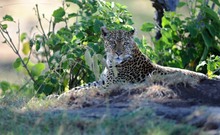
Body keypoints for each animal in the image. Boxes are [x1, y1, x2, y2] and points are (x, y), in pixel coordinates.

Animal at [57, 26, 207, 97]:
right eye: (113, 42)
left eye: (125, 43)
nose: (118, 53)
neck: (111, 62)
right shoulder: (102, 81)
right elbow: (79, 87)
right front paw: (57, 95)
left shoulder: (109, 85)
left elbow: (85, 90)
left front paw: (63, 96)